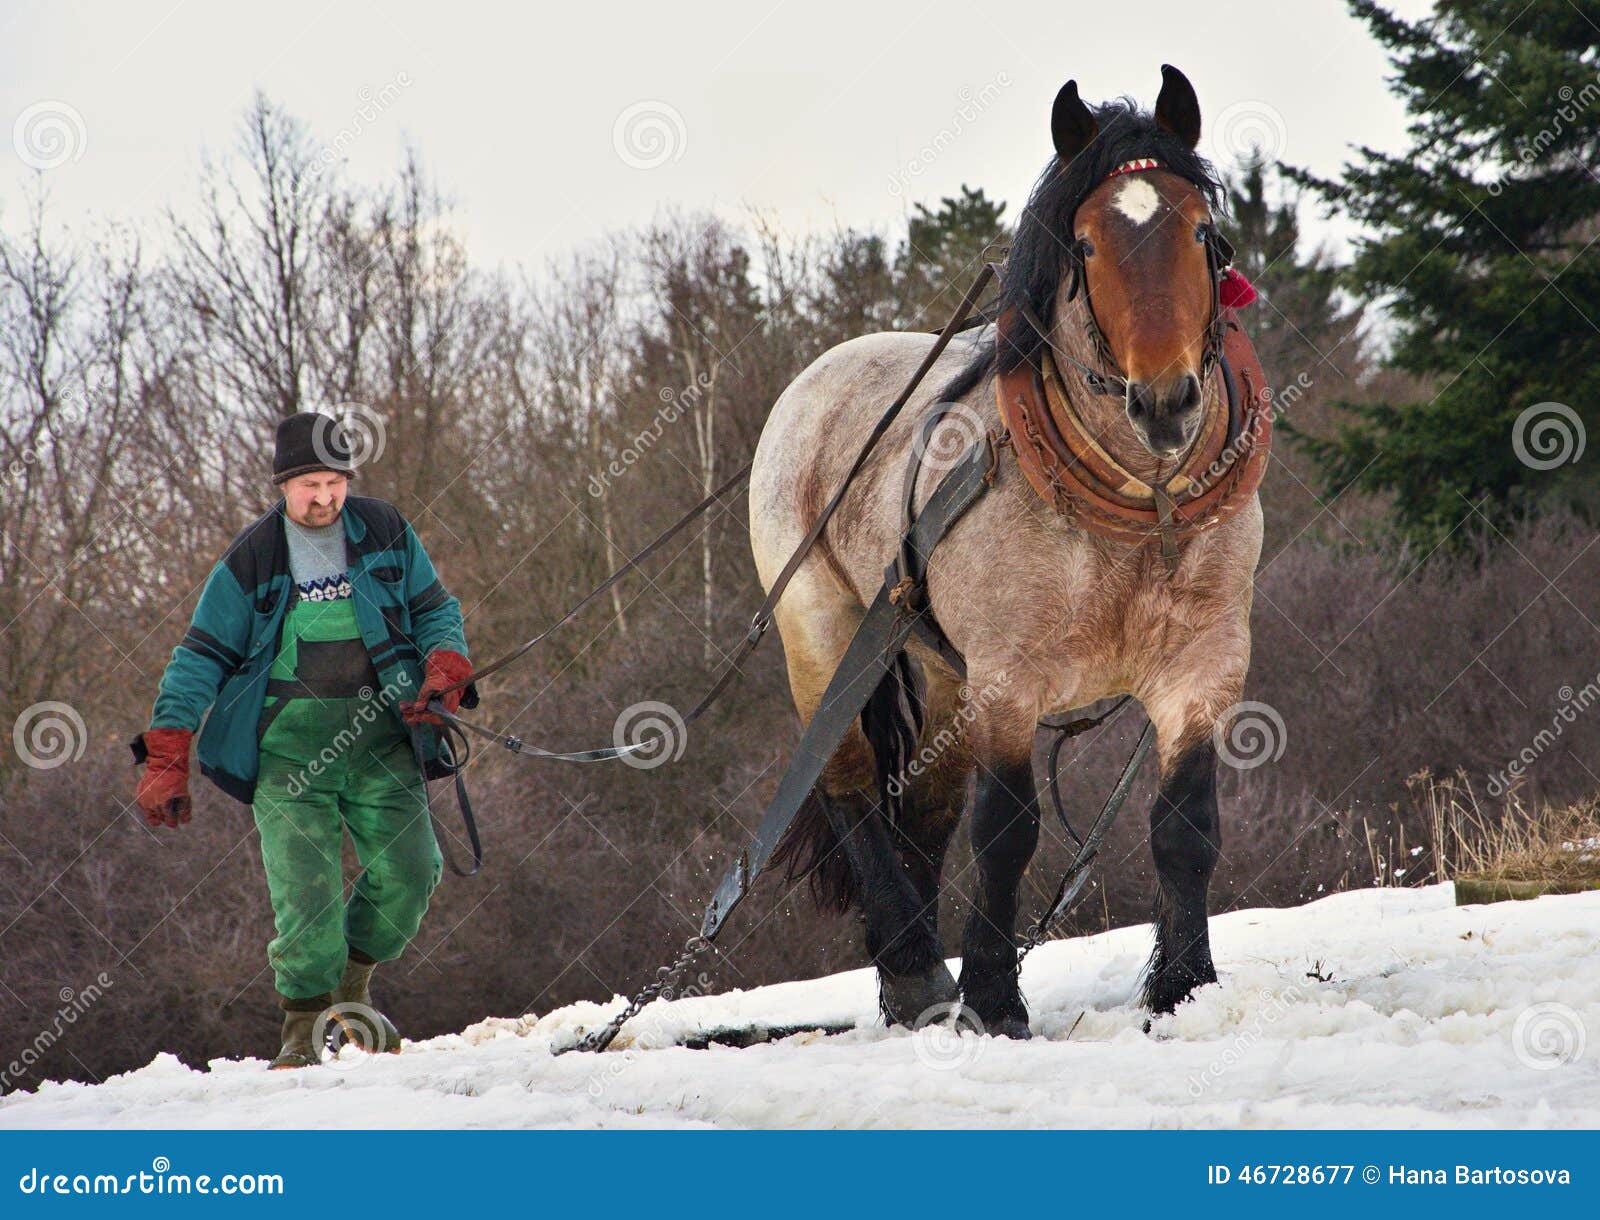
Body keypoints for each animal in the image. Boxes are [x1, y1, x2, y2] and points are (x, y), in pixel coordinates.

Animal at [747, 66, 1267, 1039]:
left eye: (1200, 232)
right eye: (1087, 246)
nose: (1166, 400)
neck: (1141, 503)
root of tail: (817, 376)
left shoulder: (1204, 666)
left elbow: (1185, 826)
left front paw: (1181, 989)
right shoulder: (1010, 677)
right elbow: (1007, 831)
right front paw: (993, 998)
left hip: (940, 670)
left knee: (924, 803)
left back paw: (905, 979)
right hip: (824, 634)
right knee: (846, 784)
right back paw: (918, 971)